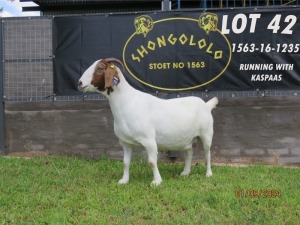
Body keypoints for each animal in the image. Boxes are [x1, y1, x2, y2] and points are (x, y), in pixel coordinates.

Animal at [77, 57, 218, 185]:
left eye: (100, 68)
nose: (80, 83)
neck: (127, 101)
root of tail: (206, 105)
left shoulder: (149, 140)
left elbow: (152, 162)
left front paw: (156, 181)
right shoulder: (125, 142)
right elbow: (125, 162)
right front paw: (124, 180)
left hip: (206, 134)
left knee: (207, 154)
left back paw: (208, 174)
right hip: (187, 139)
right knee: (189, 153)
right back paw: (185, 173)